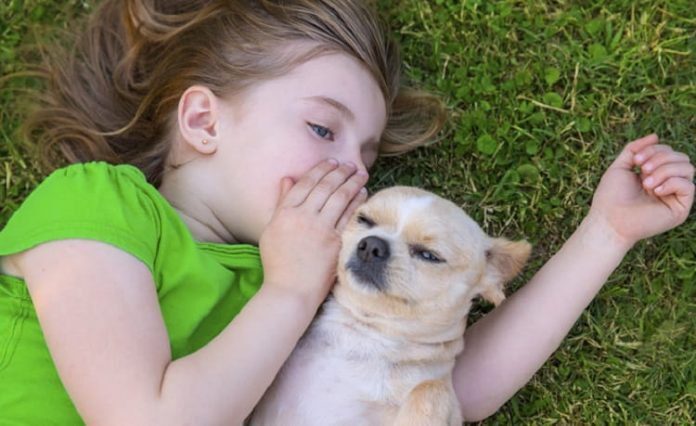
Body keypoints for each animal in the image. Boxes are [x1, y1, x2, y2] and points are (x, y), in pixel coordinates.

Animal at [253, 187, 532, 426]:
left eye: (429, 255)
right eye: (364, 220)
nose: (372, 245)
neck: (367, 333)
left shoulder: (446, 403)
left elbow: (431, 387)